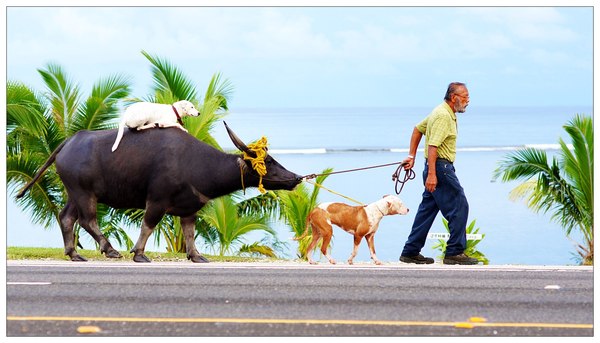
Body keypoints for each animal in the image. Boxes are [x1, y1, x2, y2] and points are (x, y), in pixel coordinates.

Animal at [16, 123, 302, 264]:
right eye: (268, 162)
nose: (296, 178)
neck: (197, 163)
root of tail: (70, 142)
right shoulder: (156, 200)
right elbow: (148, 225)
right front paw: (139, 254)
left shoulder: (190, 207)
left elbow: (189, 232)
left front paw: (196, 256)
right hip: (84, 192)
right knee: (87, 220)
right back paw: (110, 250)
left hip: (74, 193)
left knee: (66, 217)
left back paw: (74, 254)